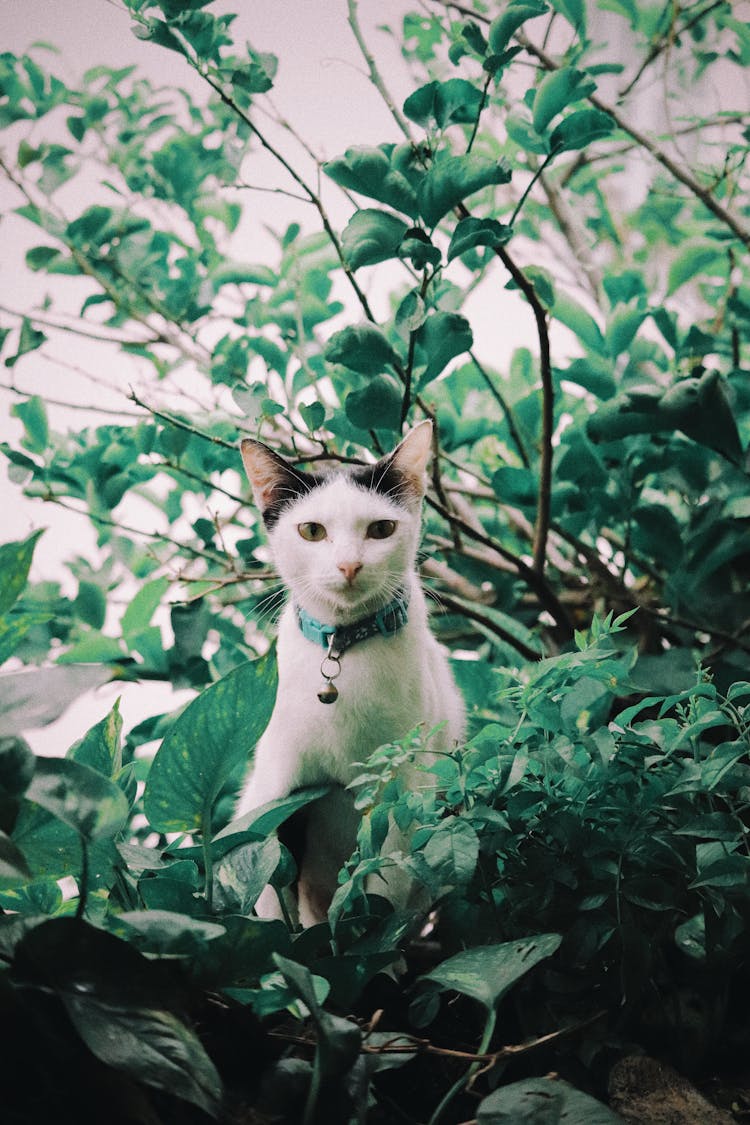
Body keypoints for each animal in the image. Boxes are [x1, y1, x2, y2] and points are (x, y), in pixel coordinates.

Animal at [237, 420, 465, 922]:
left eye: (381, 529)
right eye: (311, 530)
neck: (341, 648)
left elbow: (387, 887)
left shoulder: (403, 792)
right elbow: (269, 891)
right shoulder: (274, 799)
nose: (349, 565)